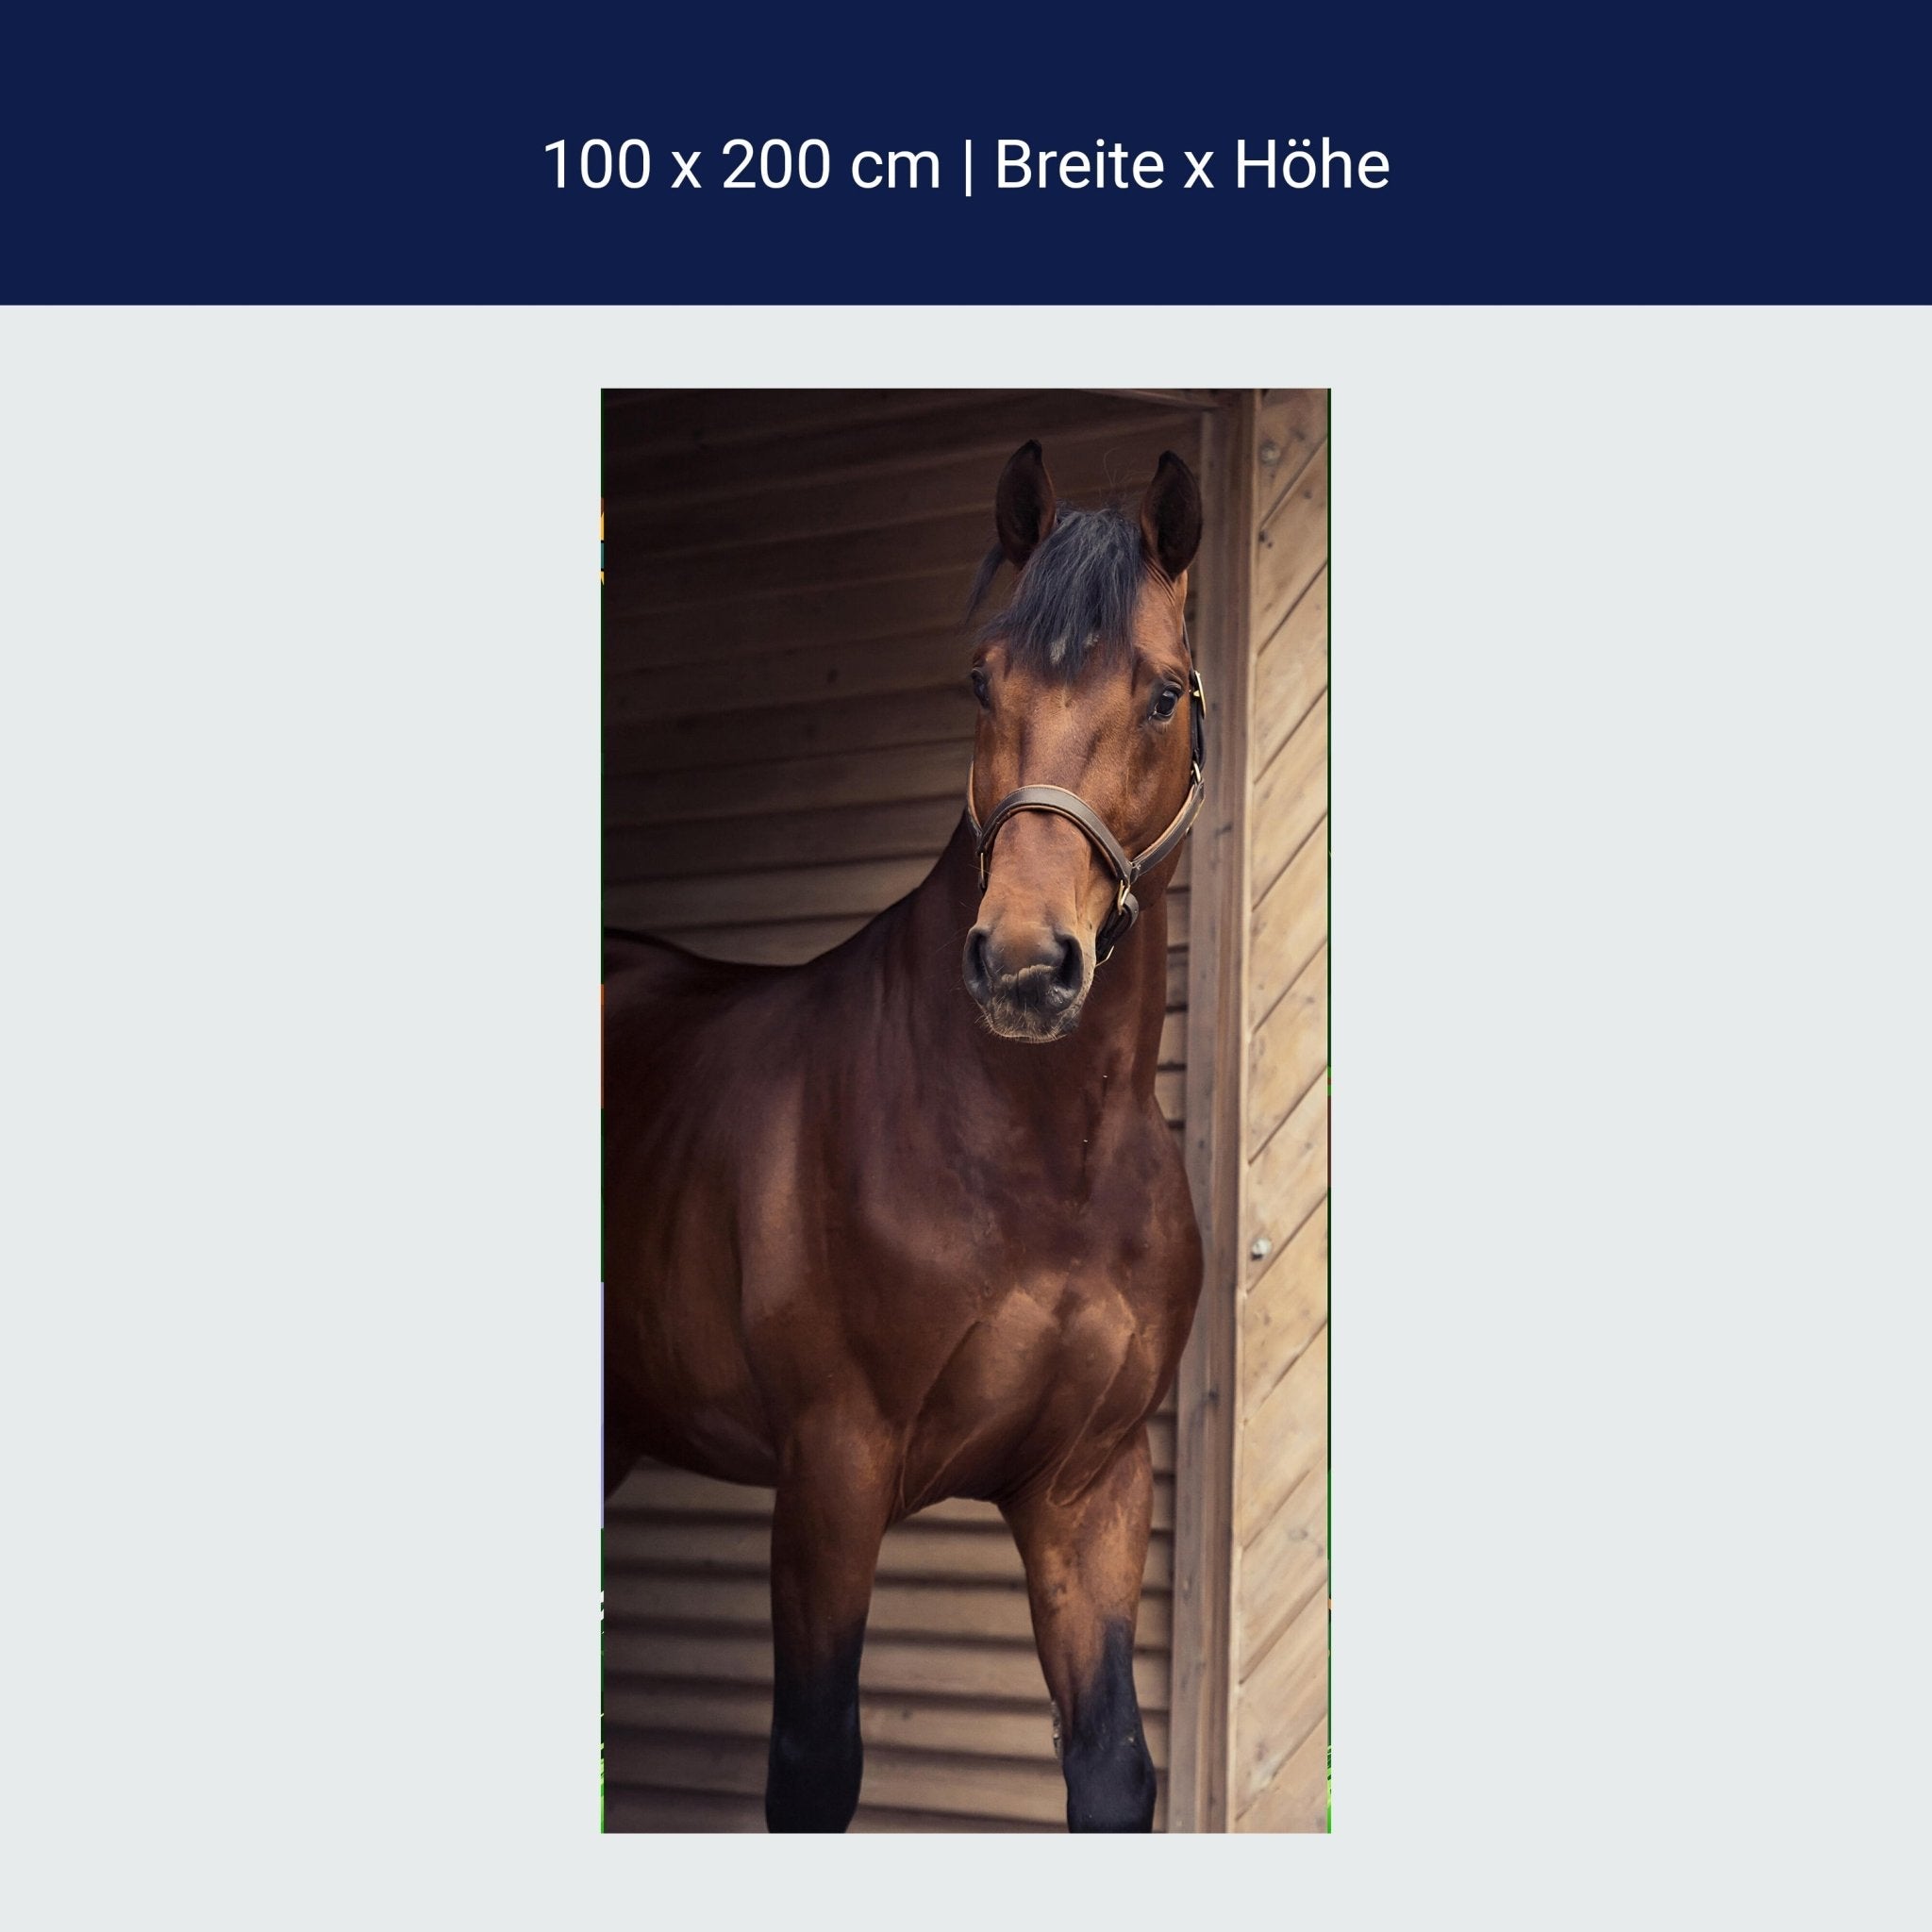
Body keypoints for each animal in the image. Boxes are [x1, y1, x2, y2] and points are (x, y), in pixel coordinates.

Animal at [603, 440, 1208, 1833]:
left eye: (1161, 693)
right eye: (981, 680)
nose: (1026, 966)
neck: (1040, 1158)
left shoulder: (1086, 1491)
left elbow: (1110, 1767)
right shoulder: (832, 1470)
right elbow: (813, 1767)